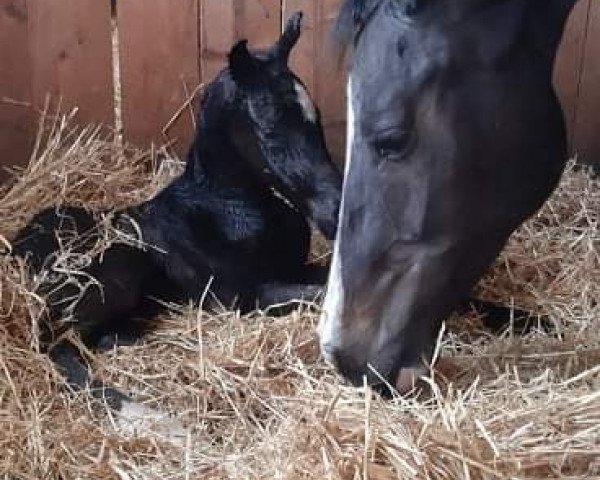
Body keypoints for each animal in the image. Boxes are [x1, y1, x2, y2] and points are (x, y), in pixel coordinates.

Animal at [11, 14, 342, 412]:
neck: (228, 211)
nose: (336, 210)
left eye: (317, 118)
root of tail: (19, 246)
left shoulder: (290, 269)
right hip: (114, 272)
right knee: (57, 345)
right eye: (271, 131)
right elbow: (316, 296)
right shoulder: (240, 298)